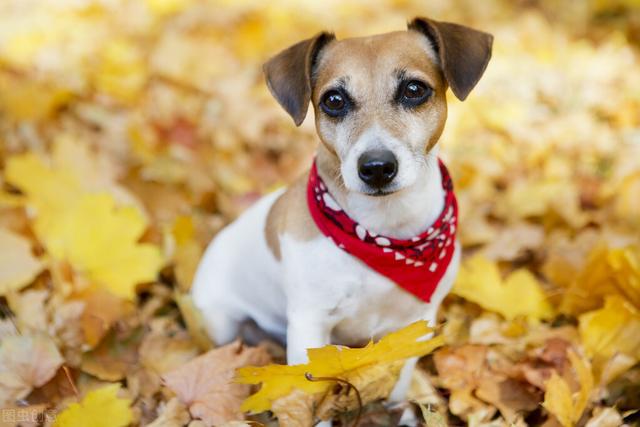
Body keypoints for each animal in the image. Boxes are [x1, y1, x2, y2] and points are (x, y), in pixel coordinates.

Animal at [192, 15, 492, 418]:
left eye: (414, 89)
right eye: (334, 100)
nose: (377, 167)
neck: (384, 234)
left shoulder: (416, 326)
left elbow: (398, 380)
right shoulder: (309, 325)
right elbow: (310, 394)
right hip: (222, 321)